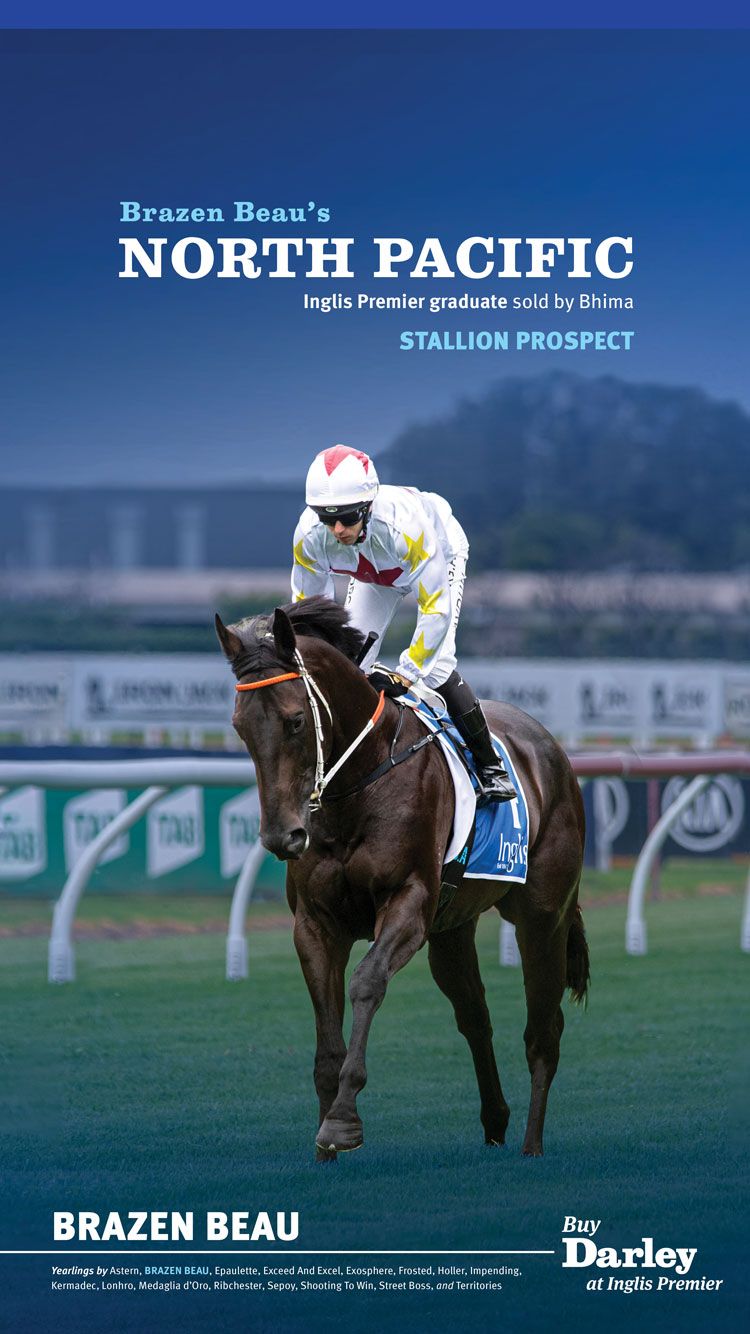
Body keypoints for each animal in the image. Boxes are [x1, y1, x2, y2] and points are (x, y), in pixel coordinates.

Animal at [215, 596, 588, 1161]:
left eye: (295, 721)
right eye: (240, 726)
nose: (283, 836)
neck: (357, 785)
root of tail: (552, 751)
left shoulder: (408, 903)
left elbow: (367, 982)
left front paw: (343, 1122)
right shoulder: (315, 924)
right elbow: (326, 1035)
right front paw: (324, 1148)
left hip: (543, 917)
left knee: (543, 1032)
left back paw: (531, 1146)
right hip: (452, 930)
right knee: (475, 1017)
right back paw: (495, 1124)